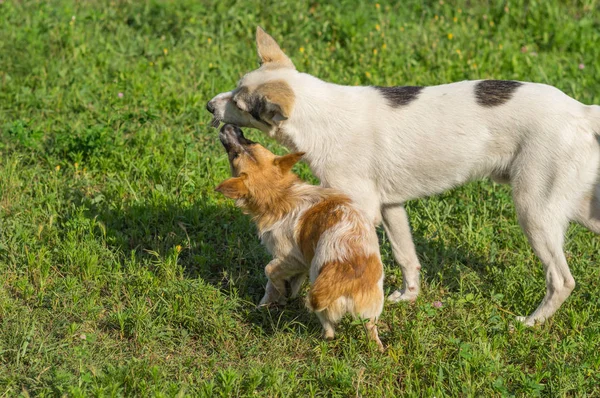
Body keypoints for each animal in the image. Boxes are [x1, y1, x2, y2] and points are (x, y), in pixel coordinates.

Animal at [216, 123, 384, 348]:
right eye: (251, 141)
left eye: (235, 155)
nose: (228, 125)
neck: (281, 195)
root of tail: (346, 270)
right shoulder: (298, 265)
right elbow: (284, 283)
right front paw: (279, 297)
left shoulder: (291, 258)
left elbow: (269, 272)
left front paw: (271, 298)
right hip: (372, 307)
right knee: (372, 330)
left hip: (318, 288)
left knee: (329, 330)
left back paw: (322, 338)